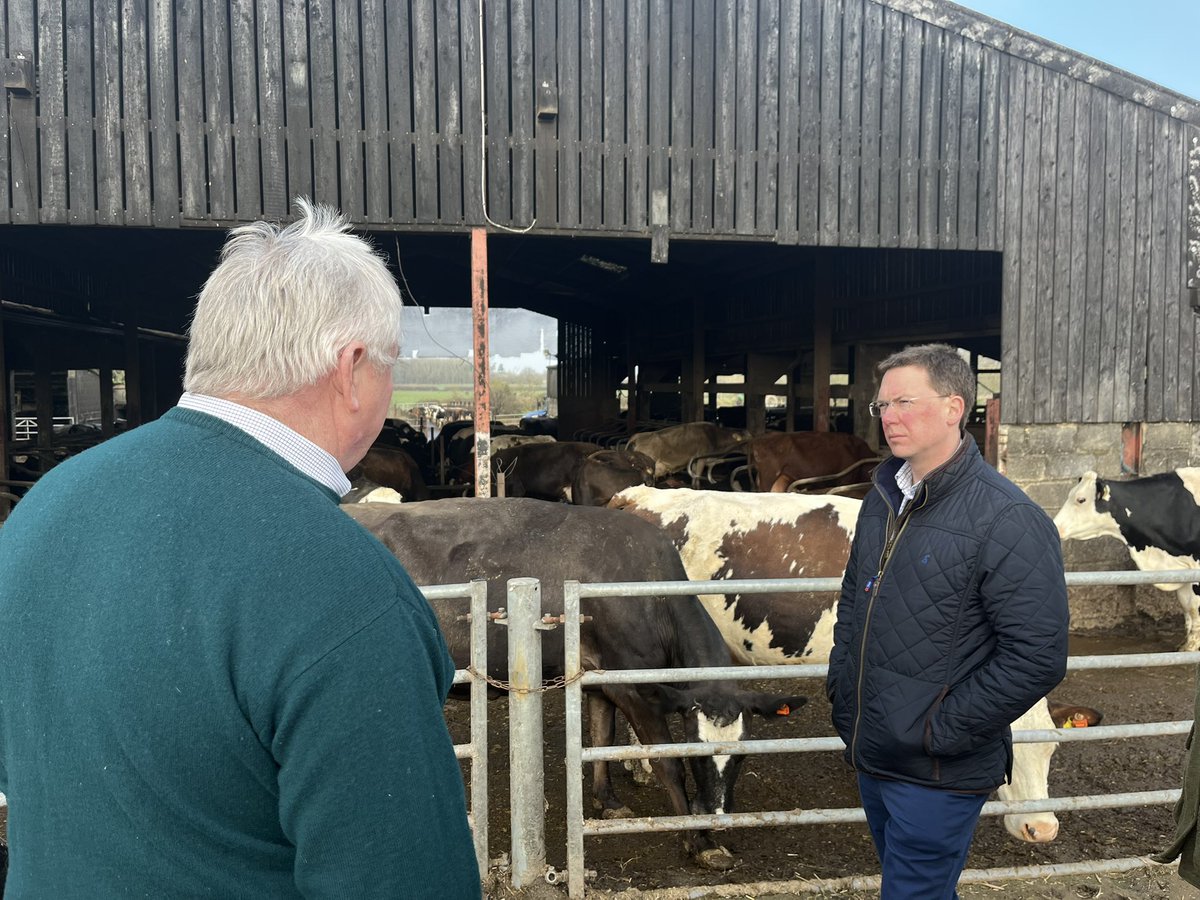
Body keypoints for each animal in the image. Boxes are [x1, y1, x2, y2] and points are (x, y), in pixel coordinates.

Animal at [340, 501, 806, 873]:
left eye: (743, 755)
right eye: (696, 752)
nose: (716, 814)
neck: (651, 592)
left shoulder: (601, 680)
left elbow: (601, 736)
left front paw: (607, 800)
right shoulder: (635, 684)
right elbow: (665, 762)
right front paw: (700, 841)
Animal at [1051, 468, 1200, 652]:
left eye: (1081, 499)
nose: (1054, 525)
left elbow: (1194, 607)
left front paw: (1192, 646)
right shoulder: (1182, 568)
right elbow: (1187, 605)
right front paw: (1185, 645)